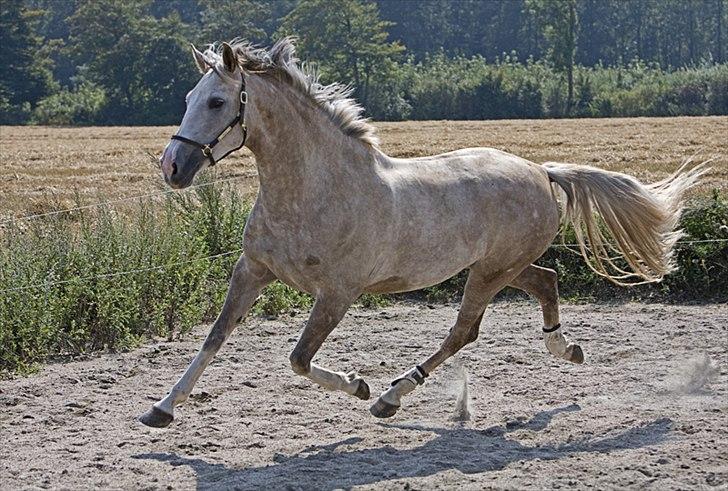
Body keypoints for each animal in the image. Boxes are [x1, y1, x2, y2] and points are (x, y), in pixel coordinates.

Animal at [138, 39, 704, 430]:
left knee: (465, 330)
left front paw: (360, 386)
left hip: (490, 272)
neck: (312, 191)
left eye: (216, 102)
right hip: (503, 266)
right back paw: (565, 349)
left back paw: (392, 396)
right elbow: (215, 337)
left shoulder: (338, 294)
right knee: (545, 280)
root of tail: (541, 171)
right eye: (190, 96)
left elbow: (299, 359)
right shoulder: (252, 271)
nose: (172, 167)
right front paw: (161, 409)